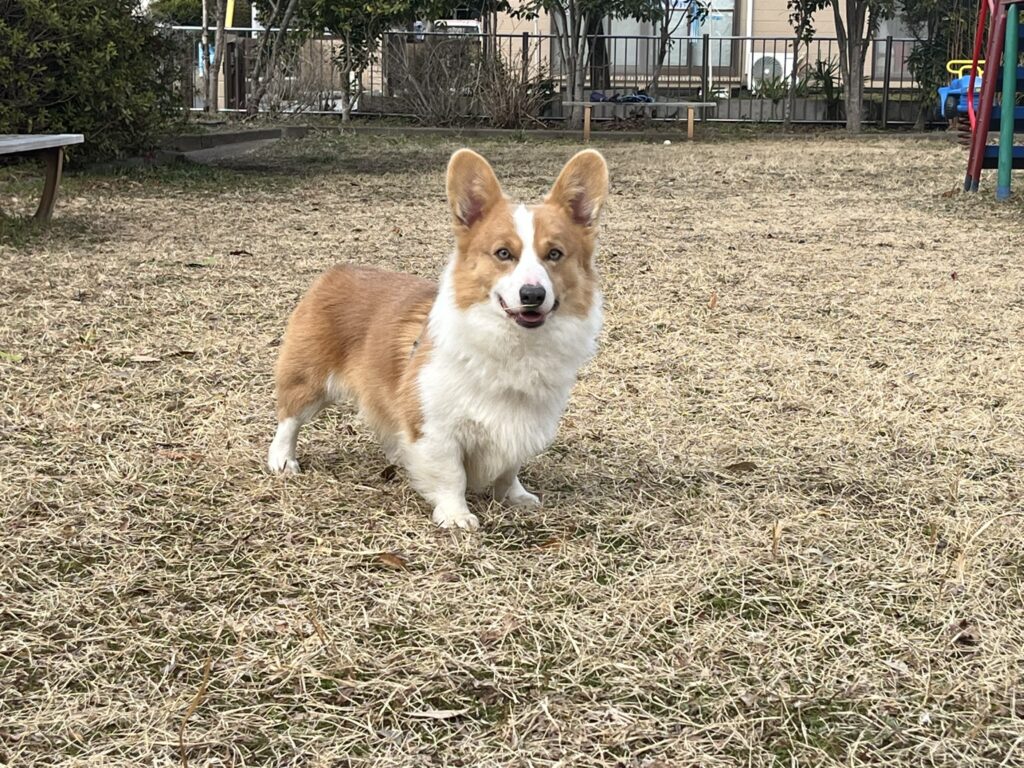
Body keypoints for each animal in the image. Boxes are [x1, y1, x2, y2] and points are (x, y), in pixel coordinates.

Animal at [268, 148, 610, 528]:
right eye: (503, 253)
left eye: (554, 254)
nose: (533, 294)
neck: (514, 345)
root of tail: (337, 271)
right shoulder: (437, 427)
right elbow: (451, 475)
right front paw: (456, 515)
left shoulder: (521, 426)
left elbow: (509, 469)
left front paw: (515, 496)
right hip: (310, 379)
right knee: (289, 418)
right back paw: (282, 460)